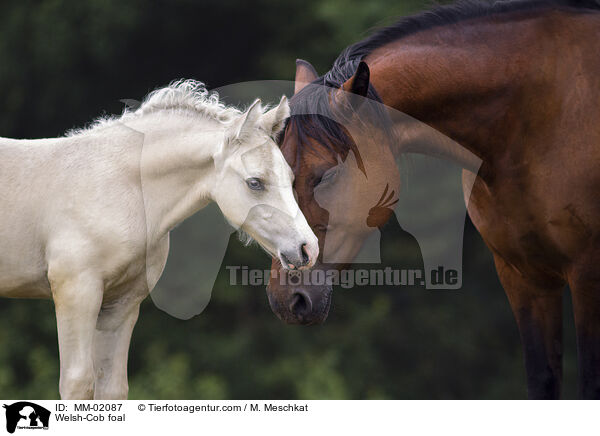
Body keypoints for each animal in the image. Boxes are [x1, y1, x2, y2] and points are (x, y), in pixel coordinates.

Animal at [0, 80, 318, 400]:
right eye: (255, 182)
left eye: (290, 179)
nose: (308, 249)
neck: (120, 186)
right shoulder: (76, 292)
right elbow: (77, 383)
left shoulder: (122, 303)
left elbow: (112, 387)